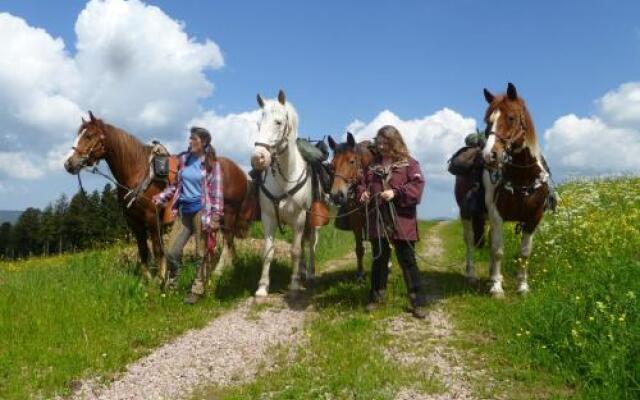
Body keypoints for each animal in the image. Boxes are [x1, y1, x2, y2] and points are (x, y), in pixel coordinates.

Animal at [64, 111, 255, 284]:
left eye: (89, 135)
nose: (68, 163)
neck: (138, 172)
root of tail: (240, 171)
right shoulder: (134, 222)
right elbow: (143, 250)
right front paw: (147, 280)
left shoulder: (152, 218)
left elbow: (157, 249)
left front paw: (160, 278)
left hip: (229, 213)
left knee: (228, 241)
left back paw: (219, 271)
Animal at [251, 90, 318, 296]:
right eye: (258, 123)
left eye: (278, 122)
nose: (258, 158)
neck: (285, 179)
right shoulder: (268, 218)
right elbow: (268, 252)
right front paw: (262, 287)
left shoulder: (300, 218)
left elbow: (295, 251)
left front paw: (294, 285)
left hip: (312, 222)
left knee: (310, 245)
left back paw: (309, 274)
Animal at [330, 132, 376, 282]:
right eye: (332, 165)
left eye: (351, 161)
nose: (336, 195)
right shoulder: (356, 222)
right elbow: (359, 249)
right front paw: (360, 275)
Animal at [480, 83, 552, 296]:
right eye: (488, 121)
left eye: (511, 118)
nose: (489, 155)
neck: (523, 178)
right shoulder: (496, 216)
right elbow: (497, 251)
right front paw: (496, 287)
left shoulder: (533, 218)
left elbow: (524, 253)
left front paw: (522, 286)